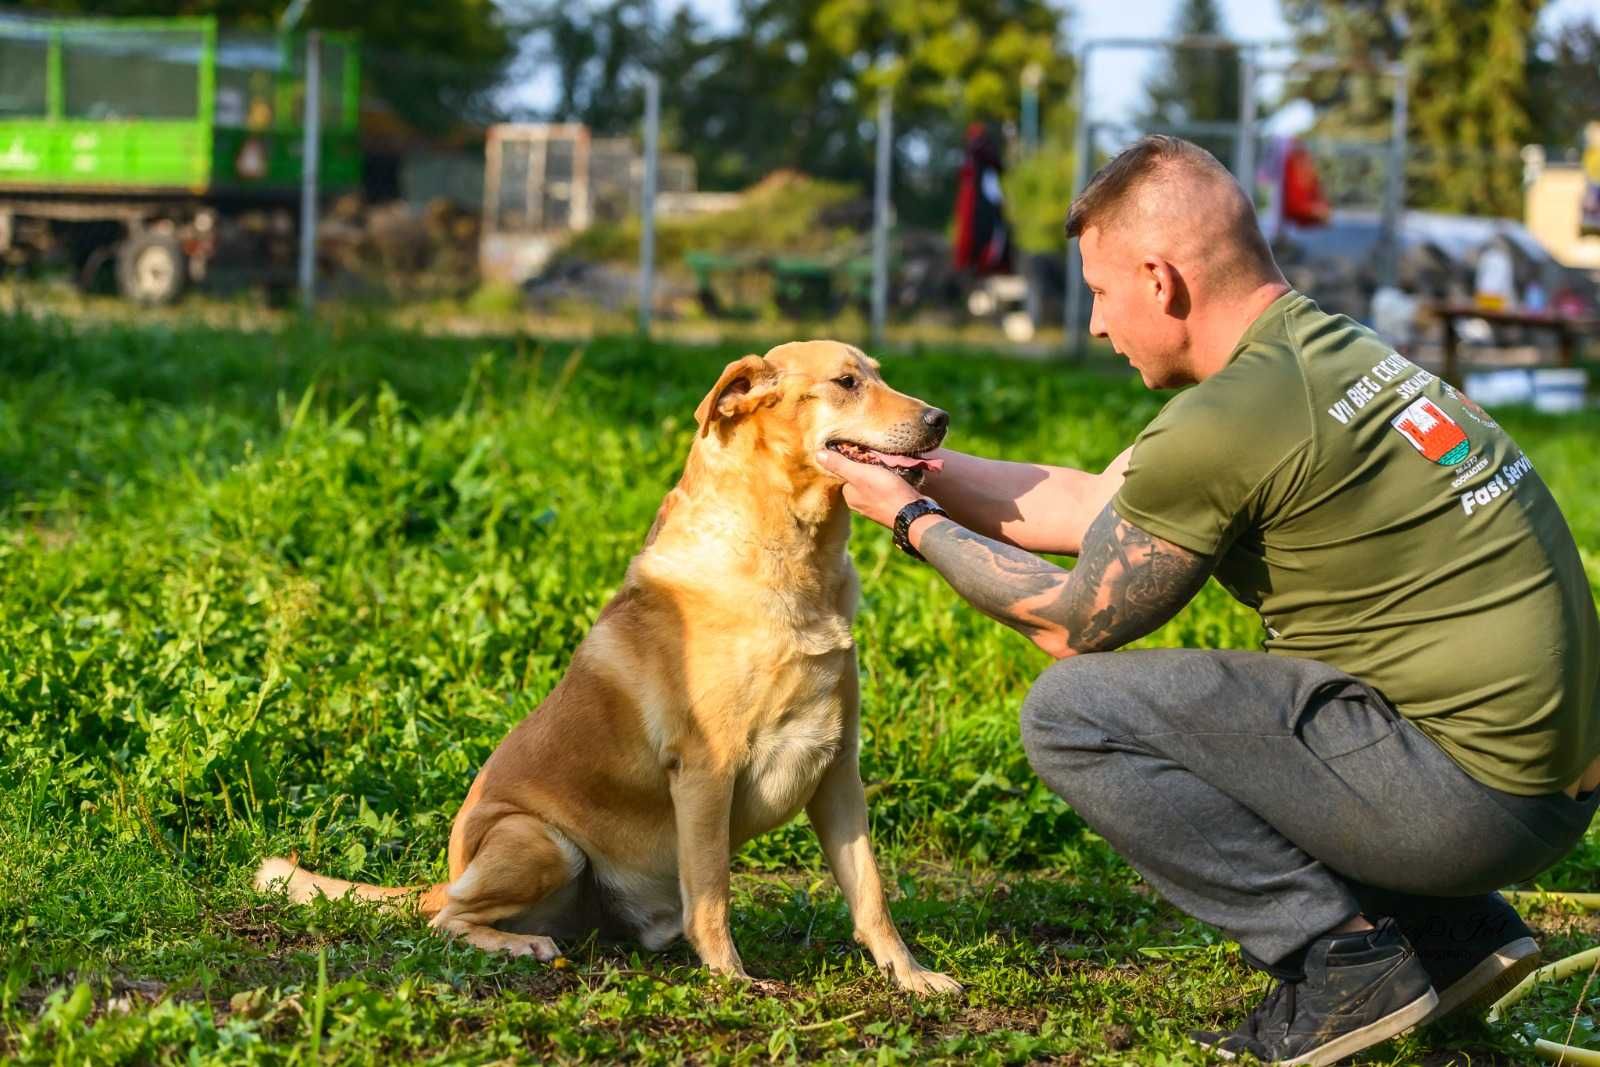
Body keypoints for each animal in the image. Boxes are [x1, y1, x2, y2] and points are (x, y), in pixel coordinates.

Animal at [254, 340, 953, 991]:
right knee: (447, 920)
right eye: (846, 382)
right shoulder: (707, 771)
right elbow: (712, 895)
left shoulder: (837, 769)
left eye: (879, 374)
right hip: (542, 841)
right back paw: (521, 945)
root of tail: (447, 876)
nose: (941, 418)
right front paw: (732, 980)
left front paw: (911, 975)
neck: (794, 559)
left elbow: (871, 895)